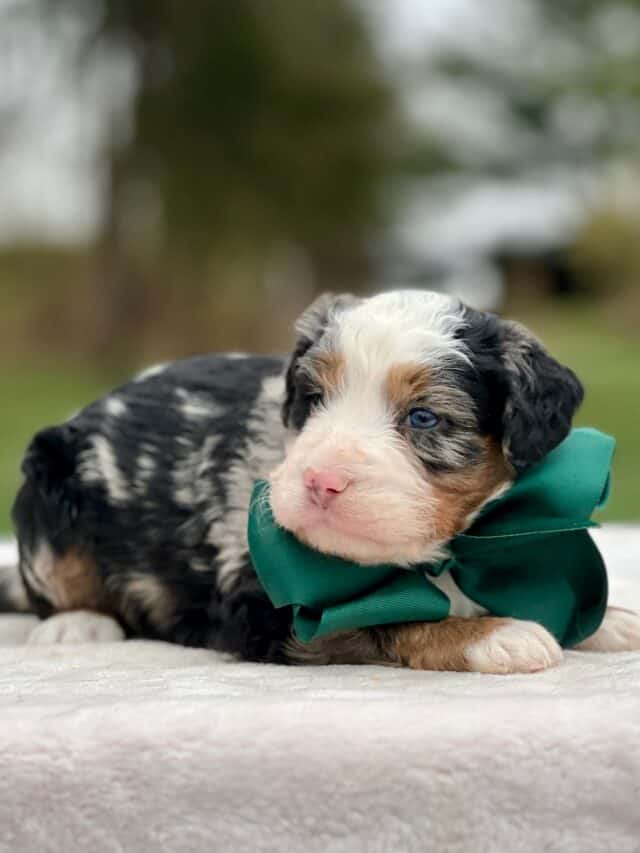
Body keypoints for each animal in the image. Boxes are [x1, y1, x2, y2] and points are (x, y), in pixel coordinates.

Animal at [5, 292, 640, 672]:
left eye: (424, 418)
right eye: (313, 400)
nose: (320, 482)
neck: (449, 553)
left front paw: (611, 618)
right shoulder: (269, 610)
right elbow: (389, 617)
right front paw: (498, 635)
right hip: (48, 492)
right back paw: (78, 625)